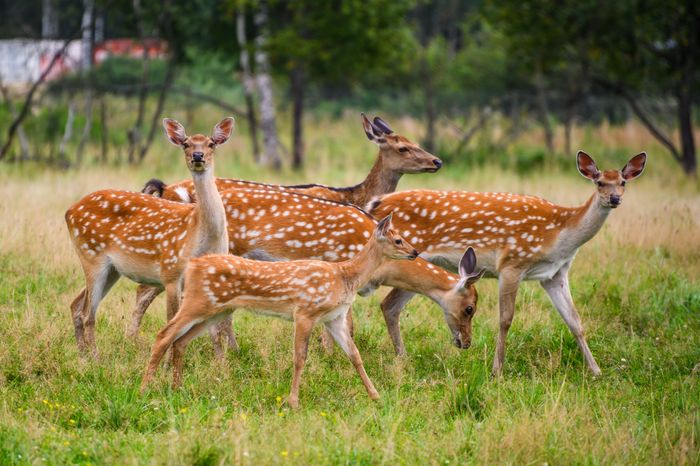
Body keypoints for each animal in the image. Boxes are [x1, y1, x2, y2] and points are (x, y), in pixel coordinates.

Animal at [65, 117, 235, 357]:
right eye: (186, 143)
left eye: (211, 143)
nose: (197, 155)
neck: (200, 232)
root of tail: (69, 211)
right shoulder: (171, 272)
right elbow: (172, 323)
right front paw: (168, 364)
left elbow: (213, 329)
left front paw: (220, 363)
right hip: (91, 255)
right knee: (88, 313)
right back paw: (95, 358)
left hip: (111, 269)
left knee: (77, 304)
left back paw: (83, 356)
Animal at [141, 215, 422, 408]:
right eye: (398, 239)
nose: (415, 251)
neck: (345, 277)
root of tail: (192, 266)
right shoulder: (305, 311)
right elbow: (300, 358)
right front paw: (293, 401)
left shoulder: (334, 317)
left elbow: (355, 355)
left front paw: (375, 395)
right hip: (197, 301)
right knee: (164, 335)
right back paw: (146, 388)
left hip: (216, 309)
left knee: (180, 340)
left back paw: (177, 387)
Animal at [368, 151, 647, 376]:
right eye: (599, 182)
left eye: (623, 183)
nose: (614, 198)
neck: (559, 235)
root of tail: (376, 202)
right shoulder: (512, 263)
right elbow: (505, 319)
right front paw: (497, 371)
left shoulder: (554, 274)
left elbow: (574, 321)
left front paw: (596, 371)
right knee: (387, 302)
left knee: (389, 305)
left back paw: (403, 359)